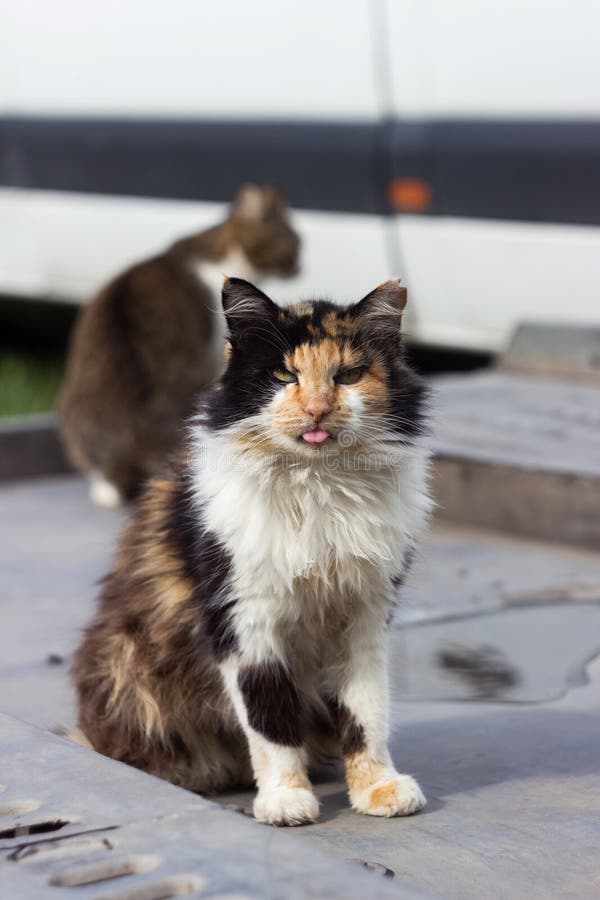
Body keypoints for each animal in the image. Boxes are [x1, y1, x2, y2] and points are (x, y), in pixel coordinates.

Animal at [71, 276, 432, 828]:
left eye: (348, 375)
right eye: (284, 375)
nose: (317, 411)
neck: (317, 487)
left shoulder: (364, 616)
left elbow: (367, 713)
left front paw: (378, 789)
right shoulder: (245, 621)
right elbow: (270, 720)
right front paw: (286, 799)